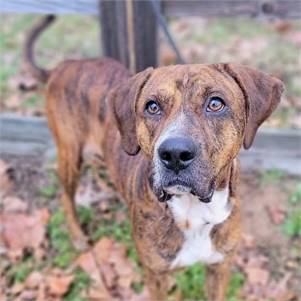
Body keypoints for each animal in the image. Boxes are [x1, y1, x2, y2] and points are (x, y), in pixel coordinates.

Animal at [24, 16, 282, 300]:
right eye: (152, 106)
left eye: (216, 104)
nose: (175, 154)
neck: (194, 211)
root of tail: (67, 64)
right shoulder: (155, 275)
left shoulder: (219, 268)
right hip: (70, 153)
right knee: (66, 195)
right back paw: (79, 236)